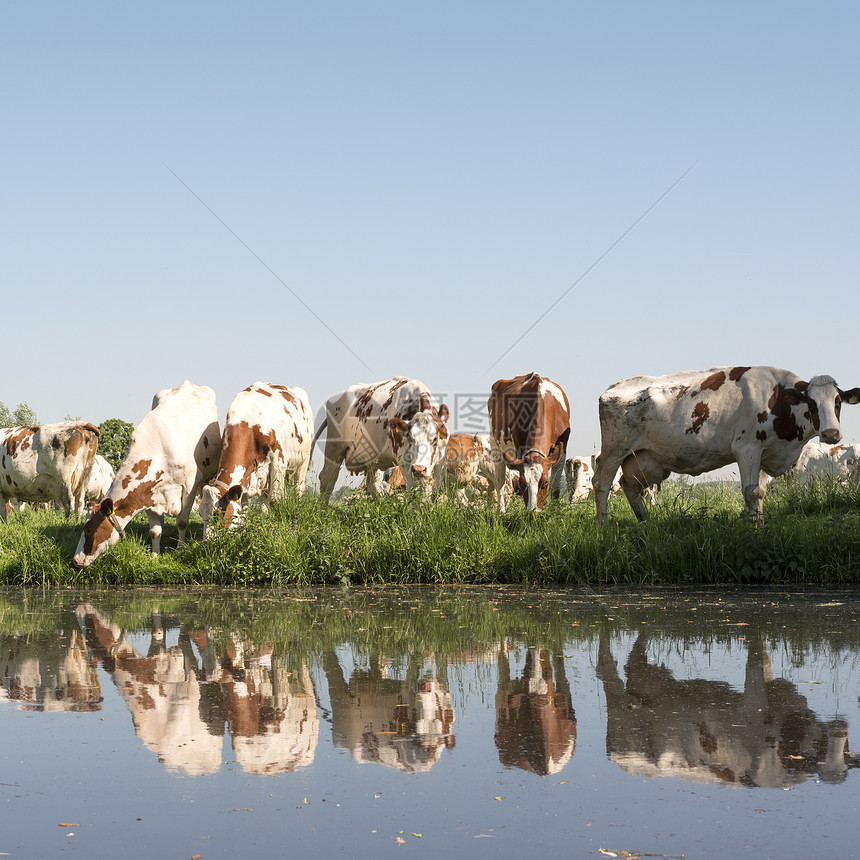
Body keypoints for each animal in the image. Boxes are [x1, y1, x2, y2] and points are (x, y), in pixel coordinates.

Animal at [73, 382, 222, 568]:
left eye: (89, 529)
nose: (76, 561)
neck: (159, 451)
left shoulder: (189, 486)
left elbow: (182, 522)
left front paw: (180, 549)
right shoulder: (149, 494)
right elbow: (154, 531)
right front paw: (155, 555)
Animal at [198, 380, 312, 536]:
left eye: (218, 514)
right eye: (200, 514)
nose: (206, 541)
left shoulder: (278, 460)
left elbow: (275, 500)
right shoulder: (246, 475)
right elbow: (244, 508)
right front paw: (243, 531)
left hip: (304, 460)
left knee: (298, 488)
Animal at [314, 376, 450, 504]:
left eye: (434, 439)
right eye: (410, 438)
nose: (419, 469)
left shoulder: (439, 462)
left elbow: (432, 491)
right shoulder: (403, 461)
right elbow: (413, 491)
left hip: (371, 459)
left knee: (373, 484)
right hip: (334, 448)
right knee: (327, 479)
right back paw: (324, 508)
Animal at [490, 372, 572, 510]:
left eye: (545, 482)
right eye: (522, 483)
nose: (532, 512)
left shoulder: (562, 447)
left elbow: (556, 487)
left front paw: (555, 511)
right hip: (495, 444)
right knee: (499, 482)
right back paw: (501, 511)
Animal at [592, 366, 860, 520]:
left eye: (838, 402)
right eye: (812, 403)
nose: (831, 435)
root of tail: (615, 386)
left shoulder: (765, 452)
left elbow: (760, 493)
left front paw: (760, 527)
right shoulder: (747, 449)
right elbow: (751, 492)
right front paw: (753, 529)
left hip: (642, 459)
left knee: (629, 486)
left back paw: (646, 521)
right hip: (615, 449)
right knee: (602, 485)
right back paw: (604, 527)